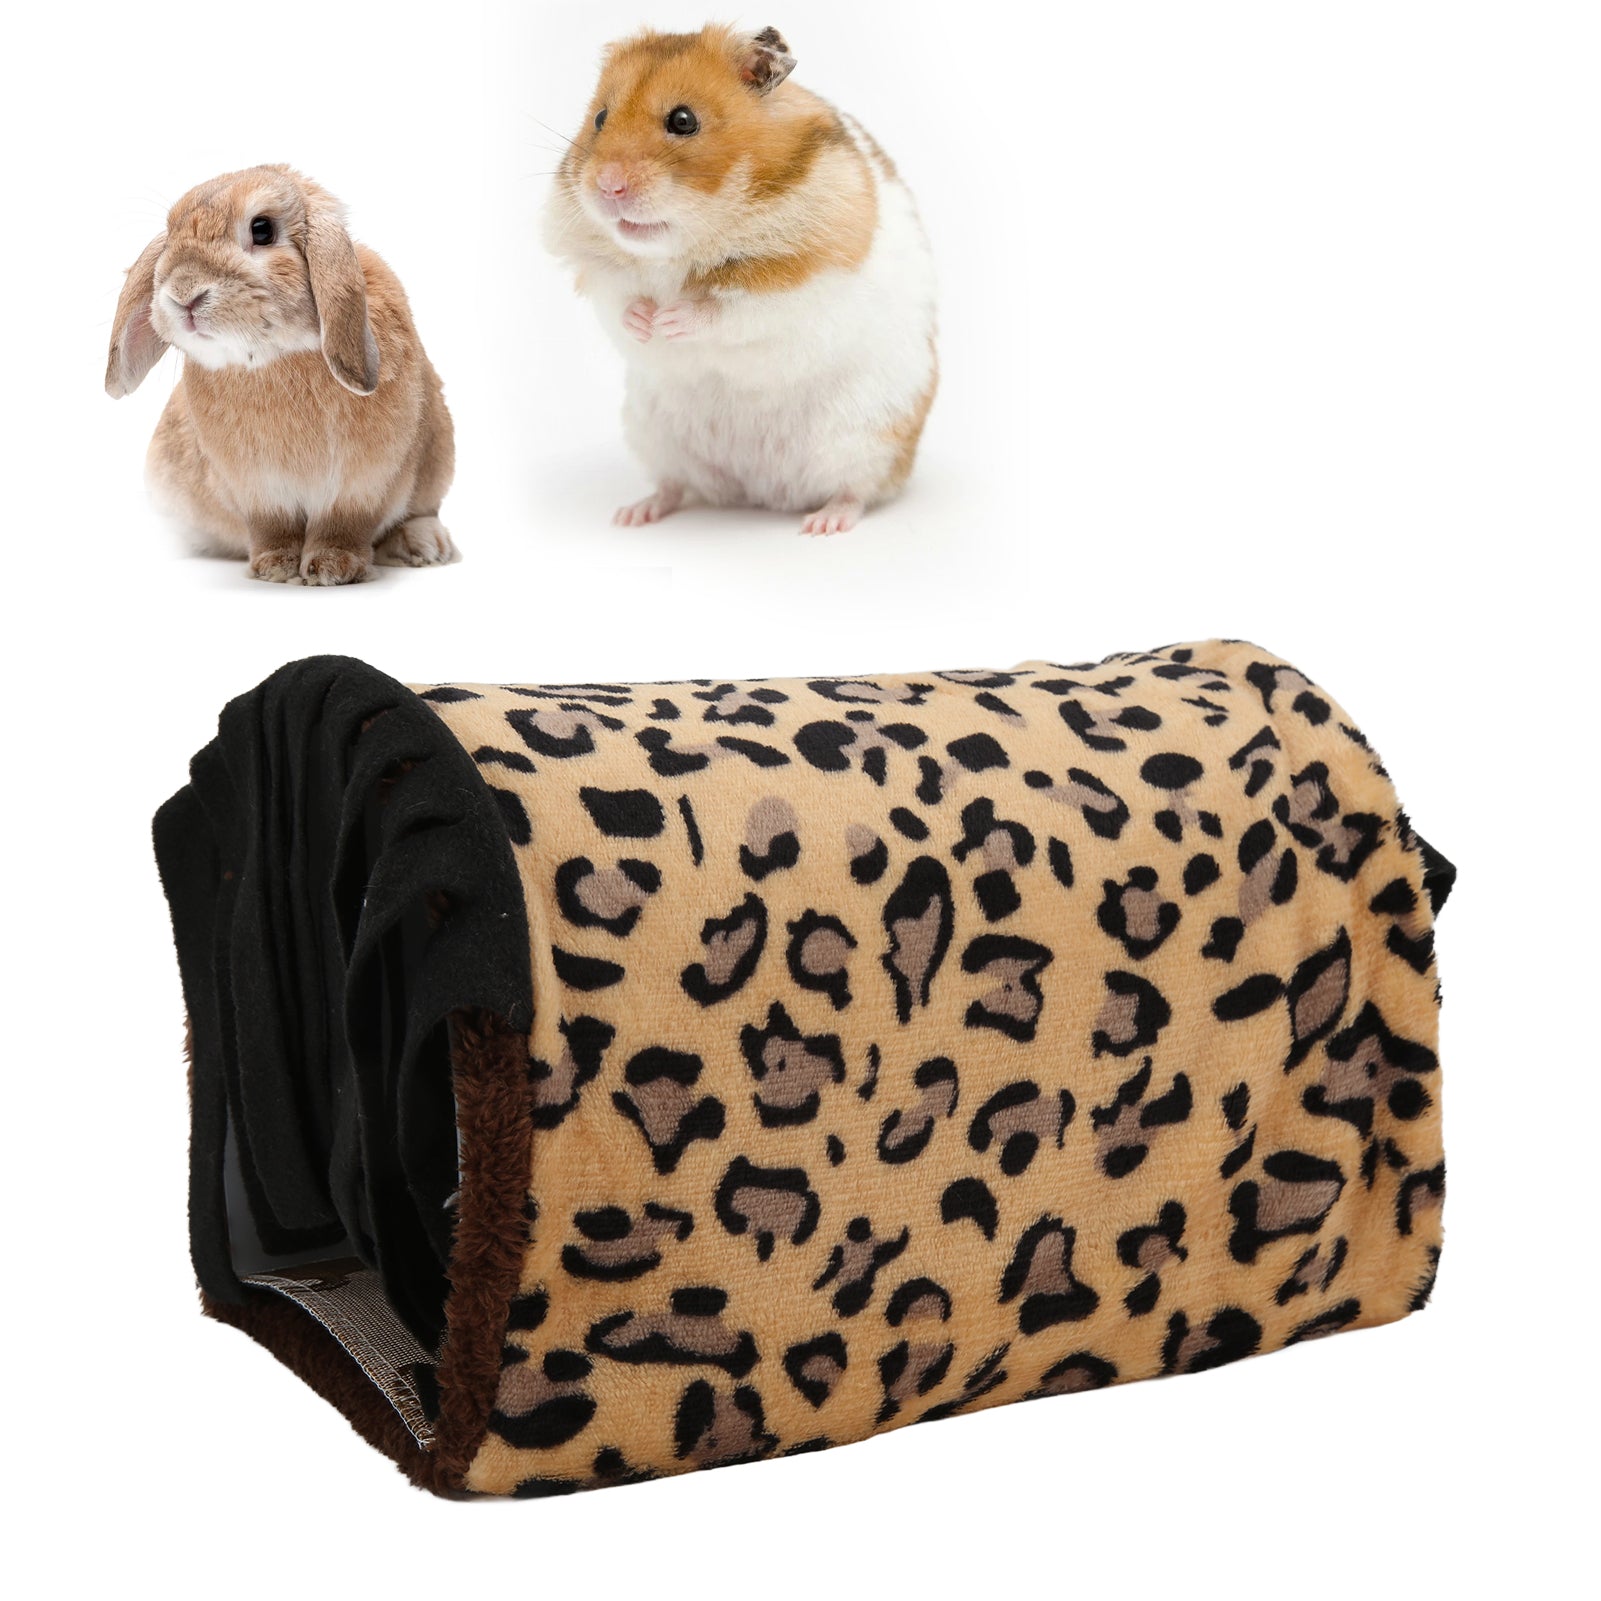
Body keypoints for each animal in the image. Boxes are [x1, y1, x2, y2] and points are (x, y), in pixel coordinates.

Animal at [546, 24, 938, 536]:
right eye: (599, 117)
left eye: (684, 120)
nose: (607, 186)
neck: (682, 246)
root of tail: (760, 490)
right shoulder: (603, 277)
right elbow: (621, 303)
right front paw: (646, 322)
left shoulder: (795, 285)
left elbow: (725, 311)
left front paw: (669, 320)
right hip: (654, 436)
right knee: (675, 485)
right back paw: (633, 514)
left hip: (869, 436)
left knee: (857, 490)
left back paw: (822, 524)